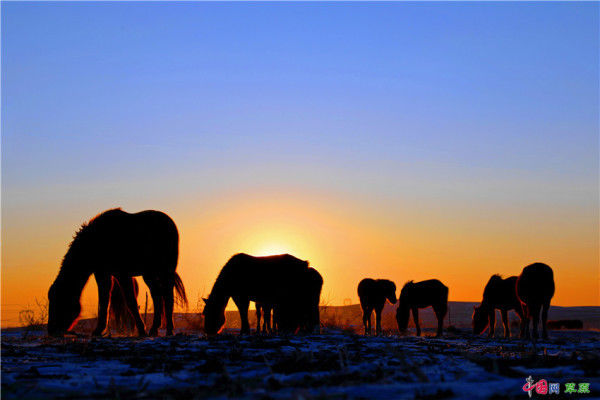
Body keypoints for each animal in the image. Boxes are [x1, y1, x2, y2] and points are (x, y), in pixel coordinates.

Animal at [47, 209, 188, 338]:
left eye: (58, 300)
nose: (51, 330)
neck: (94, 242)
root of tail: (170, 223)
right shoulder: (103, 274)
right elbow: (104, 301)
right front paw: (99, 330)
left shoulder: (122, 275)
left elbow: (130, 302)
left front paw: (141, 330)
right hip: (149, 274)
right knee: (157, 296)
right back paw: (154, 329)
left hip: (166, 271)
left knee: (168, 296)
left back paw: (169, 330)